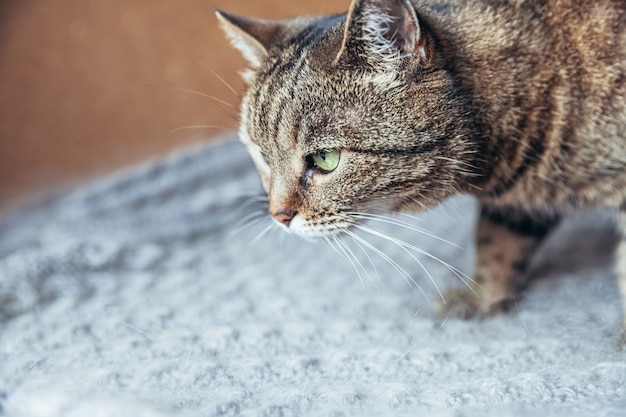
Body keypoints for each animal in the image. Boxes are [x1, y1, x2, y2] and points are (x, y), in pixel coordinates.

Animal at [216, 0, 624, 342]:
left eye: (325, 159)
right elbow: (498, 241)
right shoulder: (516, 202)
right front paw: (480, 296)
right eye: (263, 156)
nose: (277, 215)